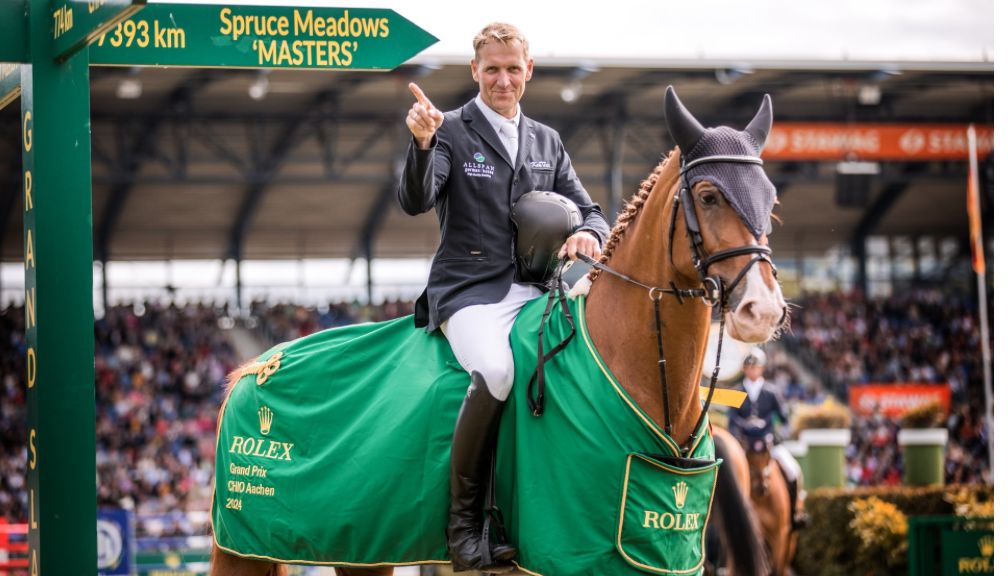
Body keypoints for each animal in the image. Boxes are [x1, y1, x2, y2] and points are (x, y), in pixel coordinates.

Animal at [210, 86, 786, 576]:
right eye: (708, 196)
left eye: (771, 198)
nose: (763, 310)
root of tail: (259, 364)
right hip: (241, 548)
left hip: (361, 551)